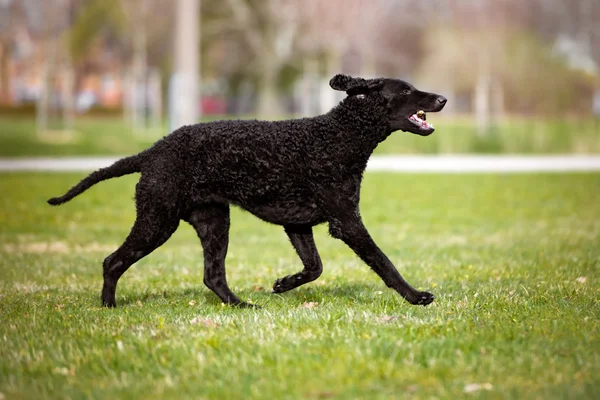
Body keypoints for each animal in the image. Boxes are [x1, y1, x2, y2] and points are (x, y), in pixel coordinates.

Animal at [49, 74, 446, 306]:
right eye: (407, 90)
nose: (442, 98)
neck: (337, 136)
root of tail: (153, 150)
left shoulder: (298, 223)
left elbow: (314, 267)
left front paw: (284, 284)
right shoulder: (347, 221)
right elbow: (384, 263)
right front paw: (415, 296)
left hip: (213, 222)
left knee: (213, 275)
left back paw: (242, 305)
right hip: (157, 220)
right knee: (112, 261)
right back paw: (108, 307)